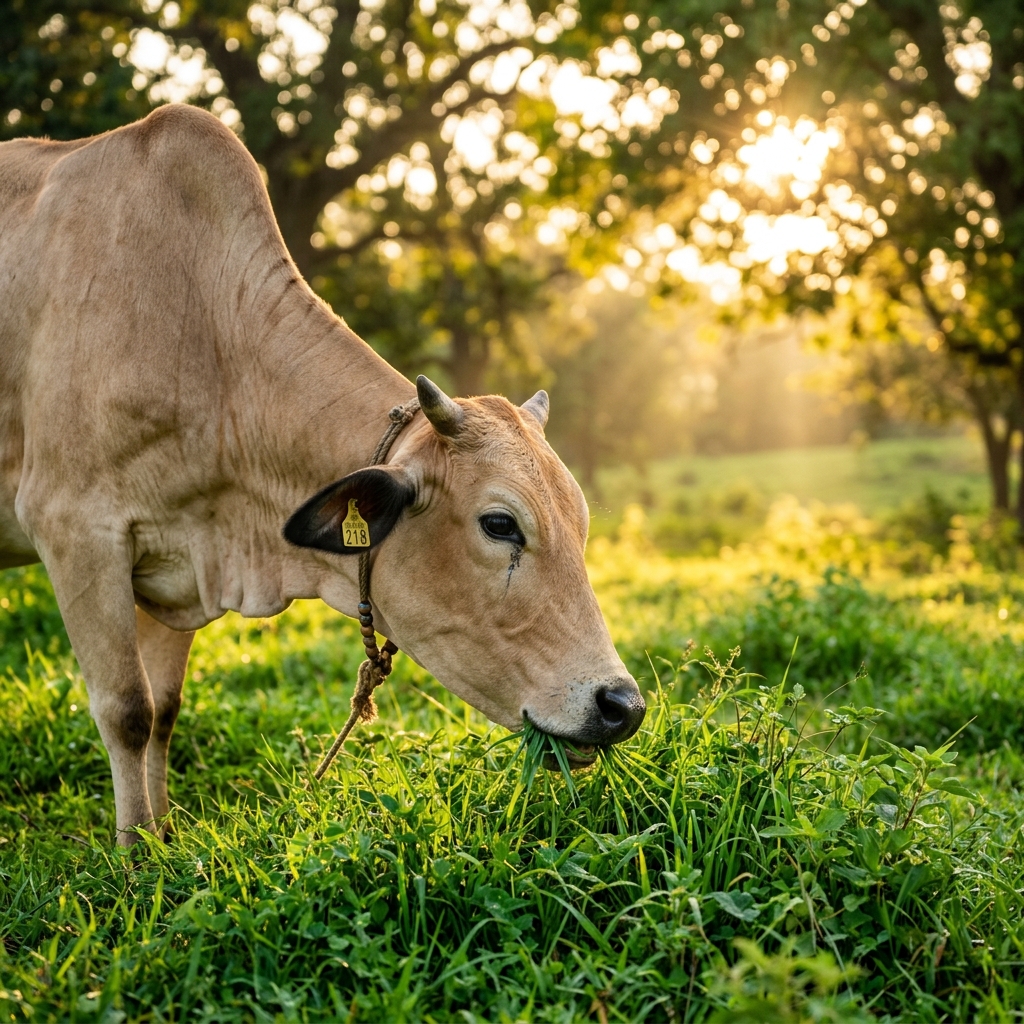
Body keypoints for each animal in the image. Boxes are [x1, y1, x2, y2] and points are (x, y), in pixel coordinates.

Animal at [0, 104, 645, 845]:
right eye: (500, 524)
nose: (623, 705)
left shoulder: (173, 564)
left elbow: (163, 710)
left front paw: (162, 842)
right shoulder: (76, 530)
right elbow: (128, 711)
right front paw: (134, 855)